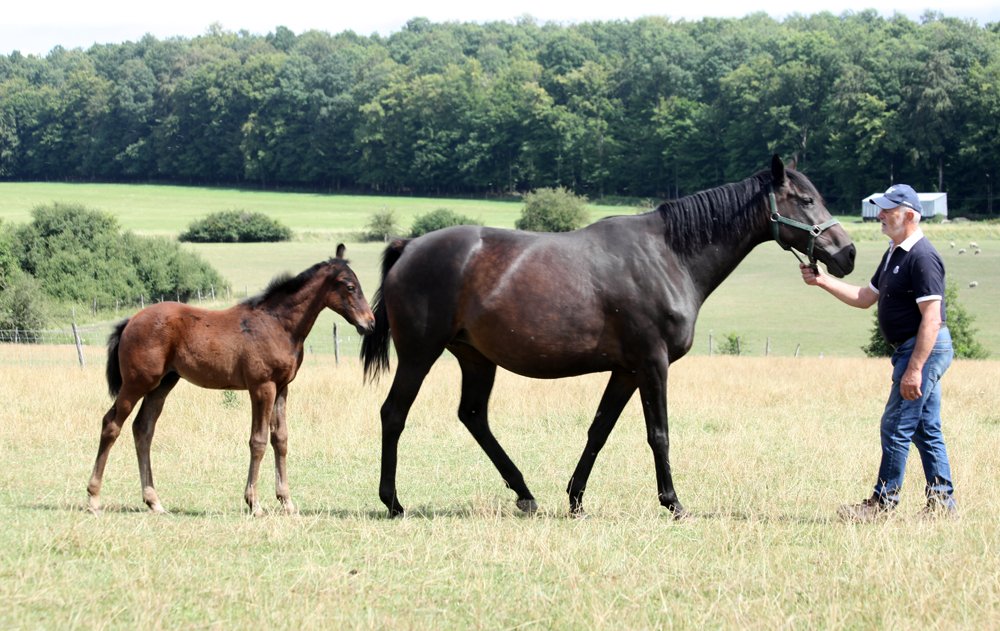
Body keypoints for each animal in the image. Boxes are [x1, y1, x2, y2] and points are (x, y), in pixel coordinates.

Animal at [87, 256, 376, 516]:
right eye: (350, 286)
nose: (369, 322)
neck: (277, 324)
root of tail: (130, 321)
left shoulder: (282, 387)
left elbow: (280, 439)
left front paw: (287, 502)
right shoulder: (262, 387)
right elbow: (258, 441)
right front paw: (254, 504)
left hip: (162, 385)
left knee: (143, 429)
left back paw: (154, 502)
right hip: (137, 382)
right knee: (111, 424)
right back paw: (93, 499)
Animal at [361, 156, 856, 519]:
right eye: (806, 199)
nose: (848, 253)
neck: (667, 255)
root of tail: (410, 245)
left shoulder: (626, 370)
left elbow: (599, 430)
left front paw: (576, 499)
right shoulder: (652, 364)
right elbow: (659, 433)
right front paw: (673, 503)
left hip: (476, 358)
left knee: (473, 417)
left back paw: (524, 493)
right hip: (419, 355)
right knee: (393, 414)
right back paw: (393, 502)